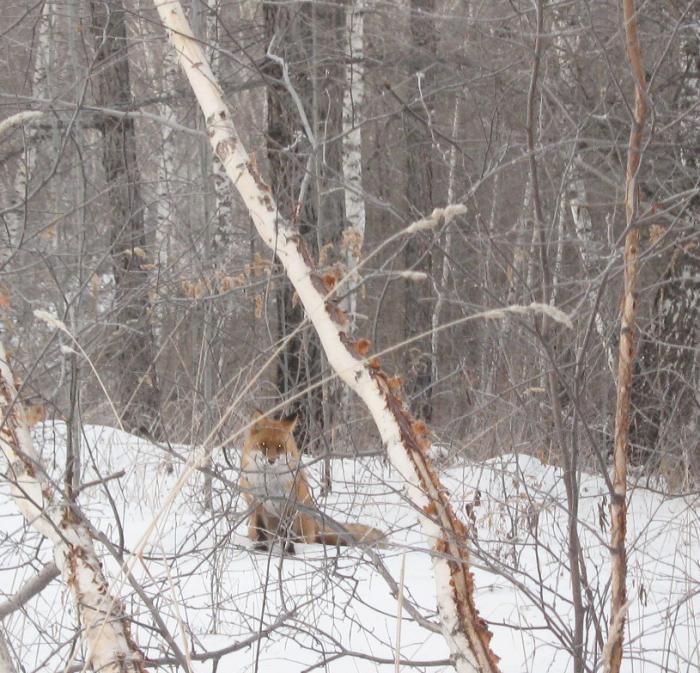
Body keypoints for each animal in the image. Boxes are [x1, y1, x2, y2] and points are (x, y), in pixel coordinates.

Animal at [239, 411, 385, 554]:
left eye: (280, 446)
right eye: (263, 445)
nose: (271, 460)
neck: (269, 483)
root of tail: (315, 526)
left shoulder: (290, 505)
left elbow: (287, 532)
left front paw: (288, 551)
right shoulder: (256, 503)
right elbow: (260, 529)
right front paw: (261, 548)